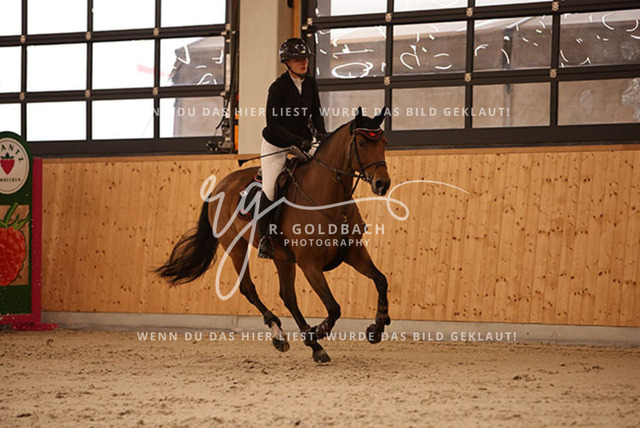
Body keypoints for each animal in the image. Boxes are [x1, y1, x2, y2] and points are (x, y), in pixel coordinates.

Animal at [156, 107, 392, 363]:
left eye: (384, 143)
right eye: (361, 143)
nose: (383, 183)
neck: (327, 198)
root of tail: (221, 184)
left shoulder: (353, 252)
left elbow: (381, 280)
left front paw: (377, 327)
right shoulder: (310, 265)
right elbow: (334, 307)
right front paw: (318, 331)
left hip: (282, 257)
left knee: (288, 296)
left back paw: (313, 345)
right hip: (235, 247)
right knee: (249, 288)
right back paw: (283, 334)